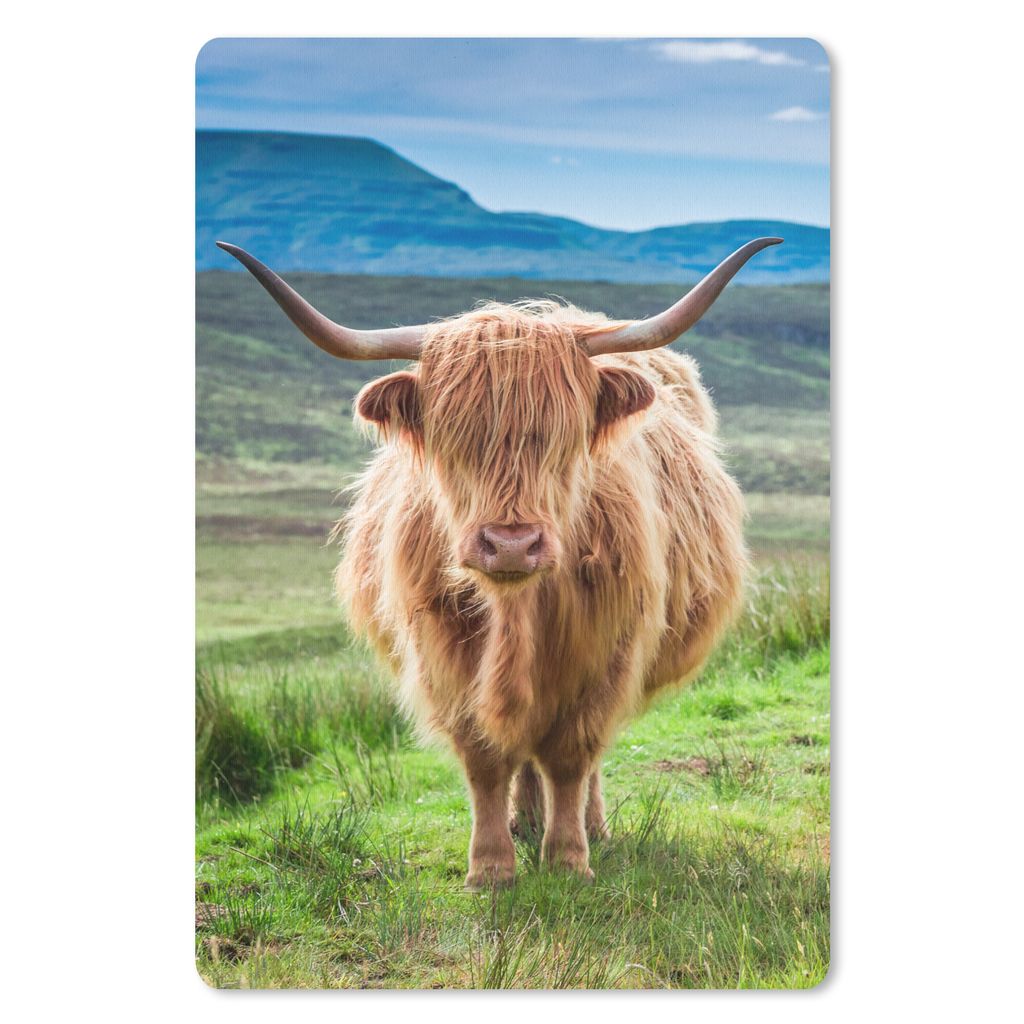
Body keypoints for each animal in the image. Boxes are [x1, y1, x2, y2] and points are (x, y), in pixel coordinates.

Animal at [217, 237, 780, 890]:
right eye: (453, 439)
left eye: (564, 437)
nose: (511, 544)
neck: (517, 610)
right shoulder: (443, 653)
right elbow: (485, 757)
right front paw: (490, 867)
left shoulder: (606, 652)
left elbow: (572, 755)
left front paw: (568, 859)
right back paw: (524, 821)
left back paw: (587, 826)